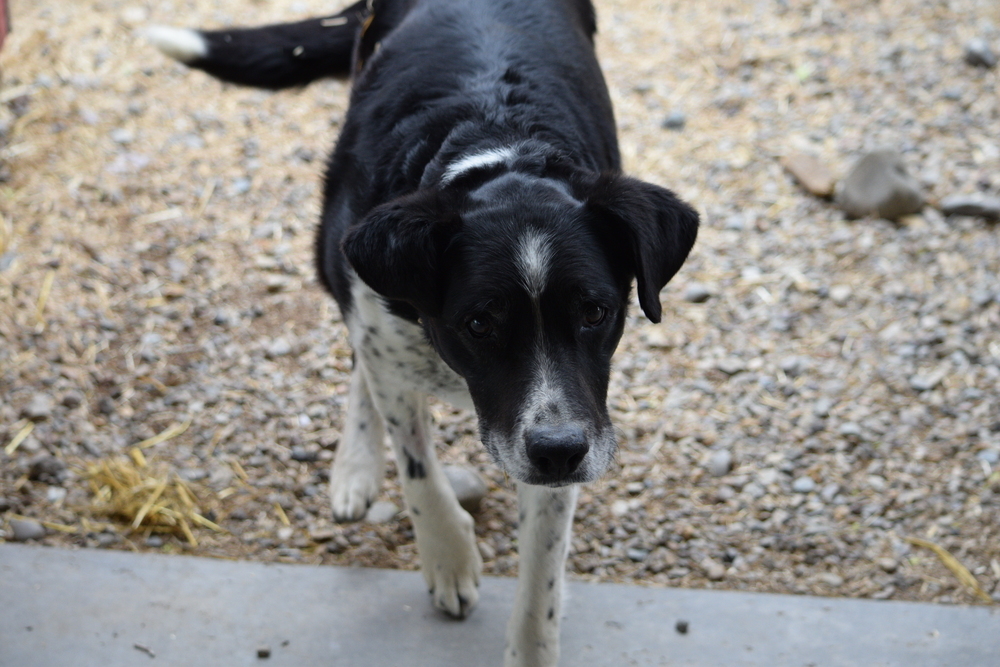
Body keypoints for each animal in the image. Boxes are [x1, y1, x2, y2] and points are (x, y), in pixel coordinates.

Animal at [148, 2, 700, 664]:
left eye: (595, 312)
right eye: (479, 322)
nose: (559, 451)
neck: (494, 144)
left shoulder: (573, 418)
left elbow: (542, 568)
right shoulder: (381, 312)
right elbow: (416, 467)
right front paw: (448, 557)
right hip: (333, 256)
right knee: (363, 359)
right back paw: (356, 466)